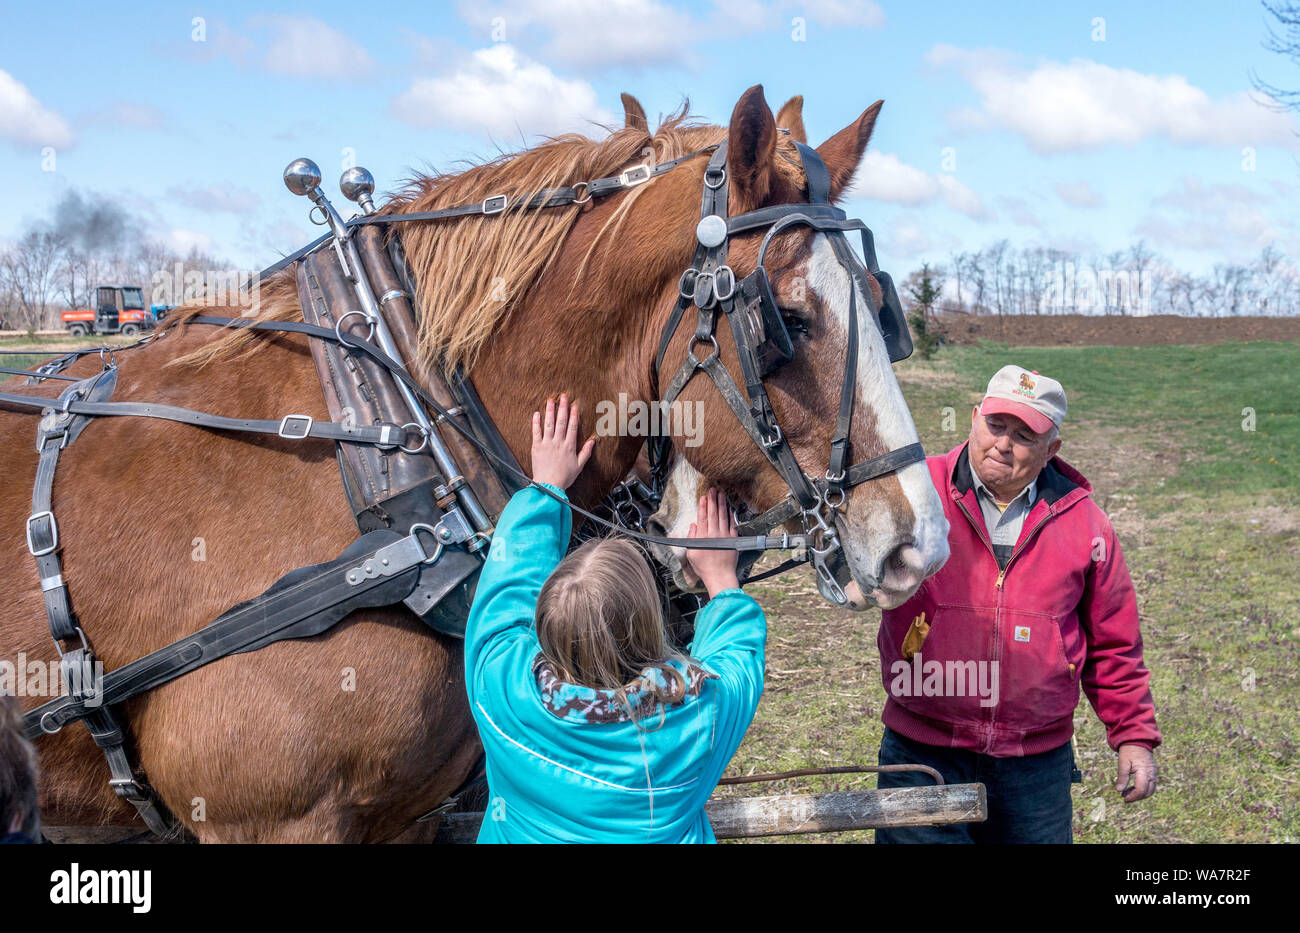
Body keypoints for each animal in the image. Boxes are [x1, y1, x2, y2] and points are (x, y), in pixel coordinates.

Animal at [5, 89, 951, 847]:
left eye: (884, 306)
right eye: (787, 318)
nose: (922, 543)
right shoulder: (269, 819)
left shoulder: (408, 815)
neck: (390, 457)